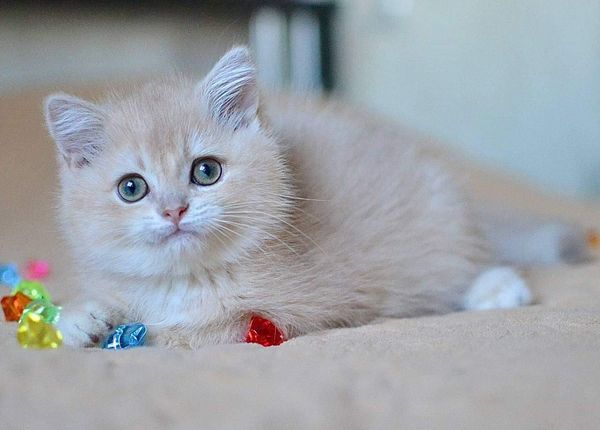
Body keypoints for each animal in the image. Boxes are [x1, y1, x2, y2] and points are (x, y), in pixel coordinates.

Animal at [48, 46, 536, 350]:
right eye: (132, 187)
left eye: (206, 171)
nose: (174, 209)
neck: (186, 281)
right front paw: (80, 319)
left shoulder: (286, 316)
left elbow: (187, 333)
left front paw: (136, 330)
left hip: (439, 222)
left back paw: (497, 288)